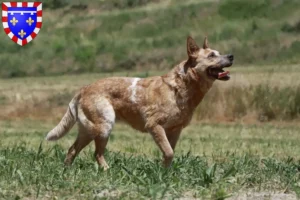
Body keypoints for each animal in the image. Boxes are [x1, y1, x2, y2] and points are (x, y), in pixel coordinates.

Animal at [46, 36, 234, 169]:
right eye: (211, 55)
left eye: (219, 52)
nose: (232, 56)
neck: (181, 86)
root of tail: (84, 88)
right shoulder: (154, 126)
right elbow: (169, 152)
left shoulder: (175, 130)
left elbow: (169, 153)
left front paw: (164, 174)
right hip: (104, 126)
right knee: (97, 154)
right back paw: (107, 171)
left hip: (88, 131)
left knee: (72, 149)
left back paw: (67, 171)